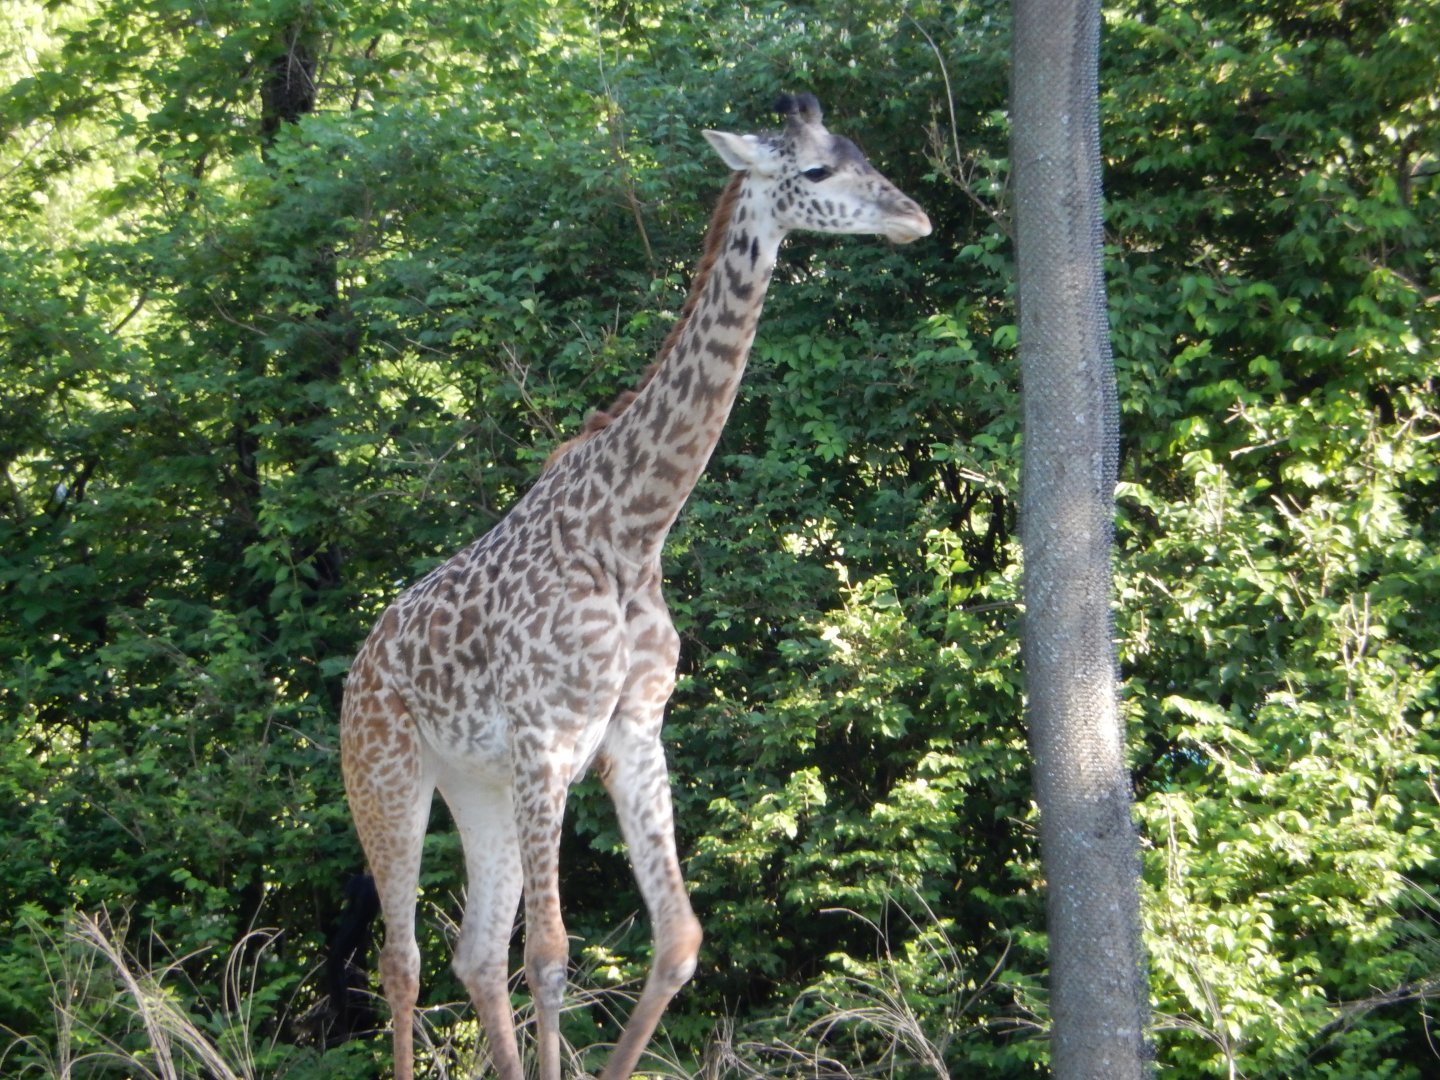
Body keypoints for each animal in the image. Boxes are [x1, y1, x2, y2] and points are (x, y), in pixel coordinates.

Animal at [339, 92, 931, 1080]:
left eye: (864, 154)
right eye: (816, 170)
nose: (913, 217)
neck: (632, 528)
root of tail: (355, 671)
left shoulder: (631, 730)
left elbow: (677, 940)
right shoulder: (545, 737)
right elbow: (550, 955)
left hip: (476, 786)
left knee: (472, 953)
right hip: (386, 777)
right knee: (404, 959)